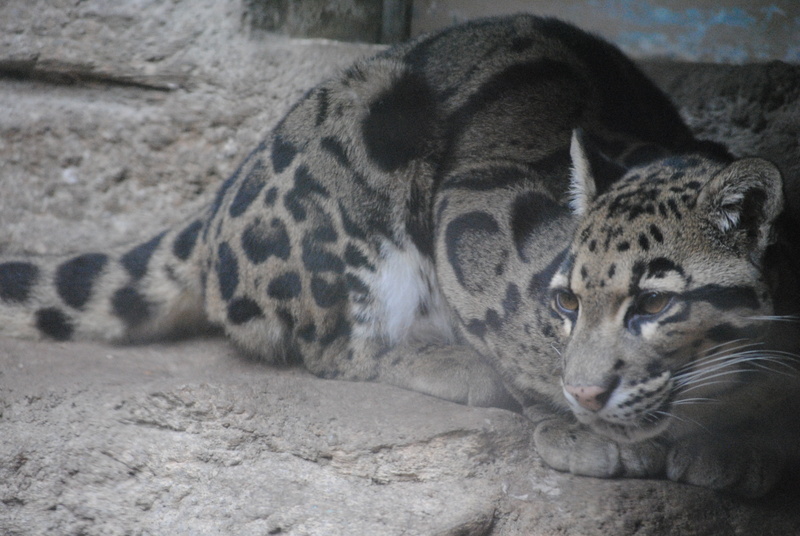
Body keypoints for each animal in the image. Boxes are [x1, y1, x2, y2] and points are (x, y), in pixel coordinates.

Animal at [1, 15, 798, 497]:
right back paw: (444, 361)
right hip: (359, 148)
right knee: (332, 348)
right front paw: (574, 424)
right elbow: (512, 330)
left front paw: (743, 449)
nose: (588, 395)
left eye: (656, 303)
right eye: (566, 301)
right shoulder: (478, 210)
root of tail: (217, 205)